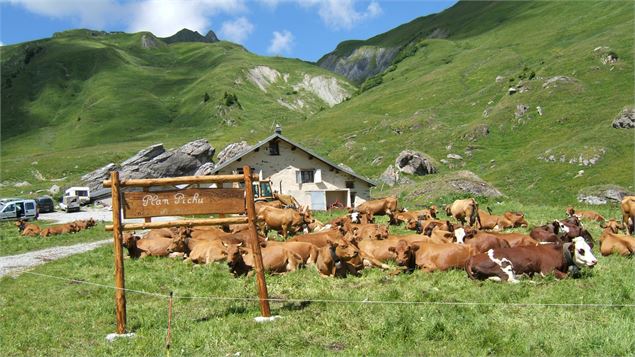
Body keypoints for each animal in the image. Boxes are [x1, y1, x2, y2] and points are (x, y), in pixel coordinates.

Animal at [468, 236, 596, 280]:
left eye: (590, 249)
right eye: (581, 250)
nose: (595, 261)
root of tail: (472, 258)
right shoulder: (547, 270)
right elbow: (566, 276)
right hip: (505, 266)